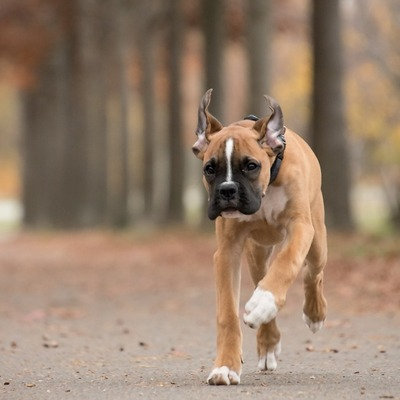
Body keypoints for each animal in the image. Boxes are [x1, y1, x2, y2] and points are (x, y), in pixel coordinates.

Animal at [192, 90, 326, 384]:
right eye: (209, 168)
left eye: (251, 166)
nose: (227, 190)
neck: (267, 188)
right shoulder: (227, 253)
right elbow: (227, 315)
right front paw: (225, 366)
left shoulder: (300, 228)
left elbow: (287, 262)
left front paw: (265, 301)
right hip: (256, 254)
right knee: (262, 278)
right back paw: (267, 343)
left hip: (317, 241)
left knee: (312, 273)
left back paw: (314, 313)